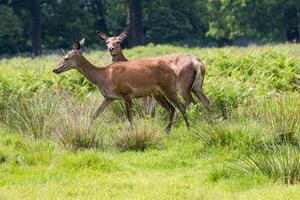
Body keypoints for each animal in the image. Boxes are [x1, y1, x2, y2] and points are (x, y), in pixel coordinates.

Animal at [53, 39, 190, 133]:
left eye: (66, 58)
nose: (55, 69)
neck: (104, 77)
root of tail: (173, 69)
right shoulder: (108, 97)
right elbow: (95, 114)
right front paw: (87, 130)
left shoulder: (127, 93)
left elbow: (129, 117)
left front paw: (133, 132)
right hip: (157, 93)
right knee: (171, 109)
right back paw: (167, 131)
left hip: (169, 88)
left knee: (182, 107)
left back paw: (189, 128)